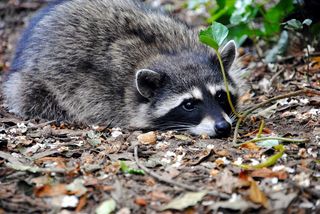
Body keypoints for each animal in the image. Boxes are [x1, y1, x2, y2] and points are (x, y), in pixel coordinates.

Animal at [3, 0, 240, 137]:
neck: (169, 53)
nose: (223, 127)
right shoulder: (98, 95)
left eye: (220, 96)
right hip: (33, 84)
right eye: (189, 104)